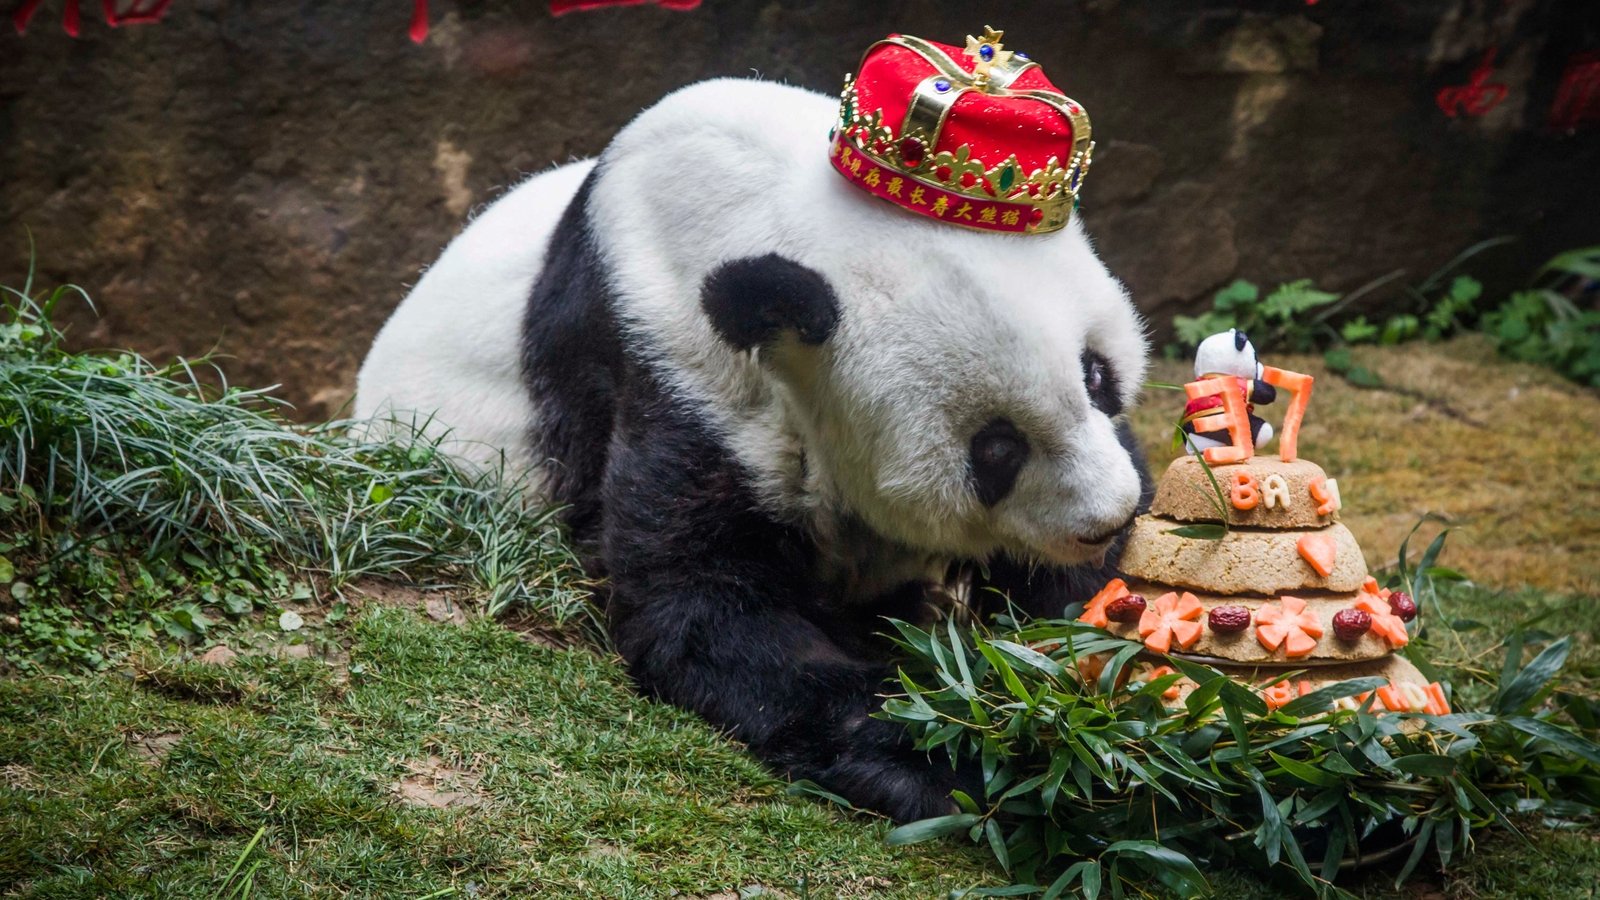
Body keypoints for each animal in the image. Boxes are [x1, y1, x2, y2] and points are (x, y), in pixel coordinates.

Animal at [355, 76, 1152, 819]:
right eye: (996, 449)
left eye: (1097, 373)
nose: (1106, 519)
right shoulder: (677, 362)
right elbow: (705, 604)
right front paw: (964, 749)